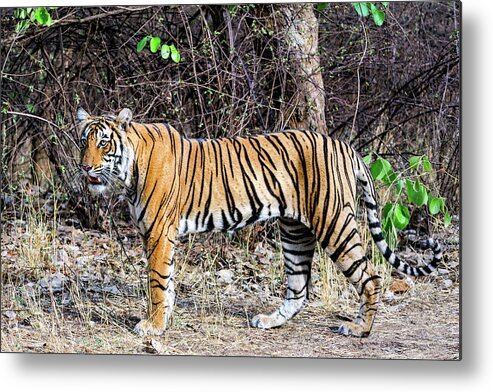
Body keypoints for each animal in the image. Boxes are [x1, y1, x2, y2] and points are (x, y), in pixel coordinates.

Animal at [77, 107, 442, 336]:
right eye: (84, 141)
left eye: (104, 143)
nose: (85, 168)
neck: (128, 170)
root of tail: (345, 146)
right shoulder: (159, 236)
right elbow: (166, 283)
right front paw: (163, 320)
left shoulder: (158, 234)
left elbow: (156, 282)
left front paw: (152, 326)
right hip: (295, 230)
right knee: (299, 287)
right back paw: (269, 321)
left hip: (334, 223)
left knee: (370, 277)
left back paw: (359, 329)